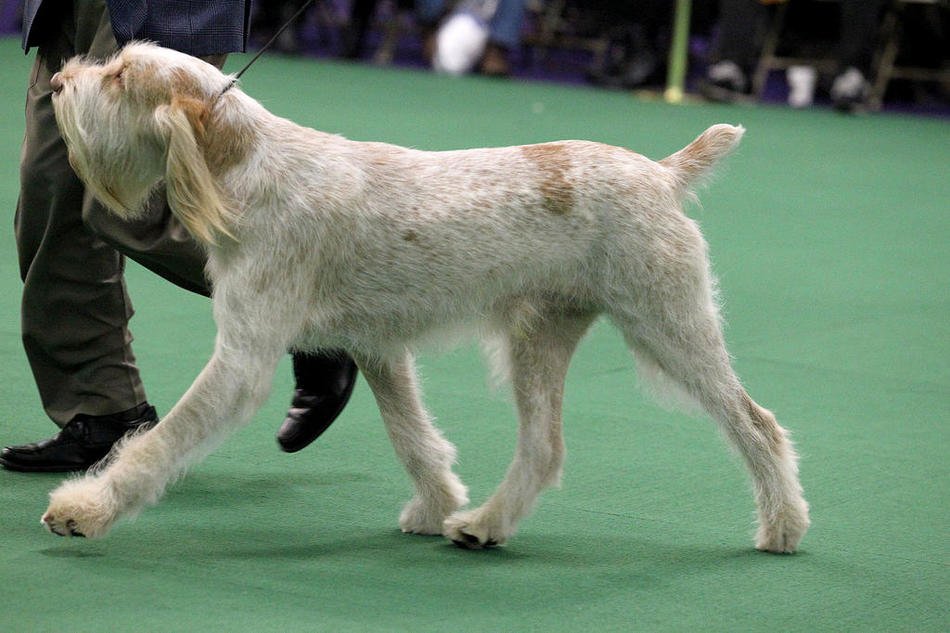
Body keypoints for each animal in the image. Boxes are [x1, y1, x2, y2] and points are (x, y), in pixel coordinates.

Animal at [44, 42, 812, 552]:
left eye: (119, 75)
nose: (55, 79)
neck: (246, 163)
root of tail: (661, 172)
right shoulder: (379, 349)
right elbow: (412, 437)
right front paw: (439, 503)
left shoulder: (241, 359)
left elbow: (158, 443)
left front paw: (86, 507)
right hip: (539, 339)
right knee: (544, 449)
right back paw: (483, 524)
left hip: (670, 328)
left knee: (758, 424)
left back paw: (782, 526)